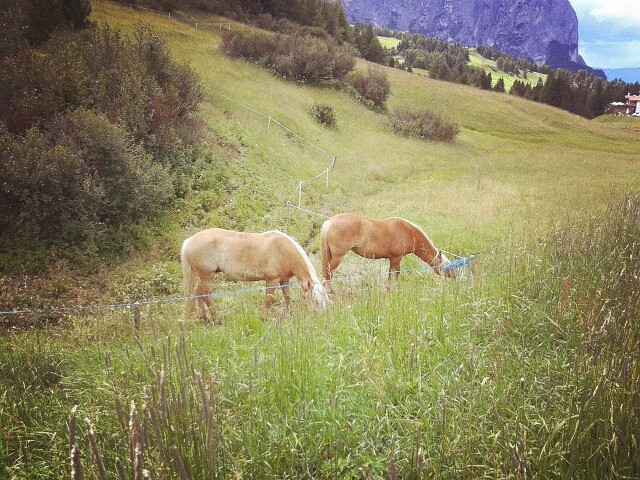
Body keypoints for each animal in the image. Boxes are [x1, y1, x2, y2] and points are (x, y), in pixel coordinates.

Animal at [181, 228, 329, 323]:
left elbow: (287, 297)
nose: (321, 318)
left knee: (198, 291)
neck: (283, 251)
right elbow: (268, 300)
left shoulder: (284, 280)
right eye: (316, 301)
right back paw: (216, 320)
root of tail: (189, 241)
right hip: (207, 276)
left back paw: (205, 319)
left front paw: (290, 314)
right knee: (206, 295)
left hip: (204, 276)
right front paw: (264, 319)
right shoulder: (272, 280)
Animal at [320, 213, 455, 293]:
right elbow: (395, 274)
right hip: (337, 257)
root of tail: (329, 222)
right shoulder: (396, 258)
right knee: (328, 273)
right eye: (446, 265)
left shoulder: (392, 259)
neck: (408, 232)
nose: (453, 277)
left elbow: (392, 274)